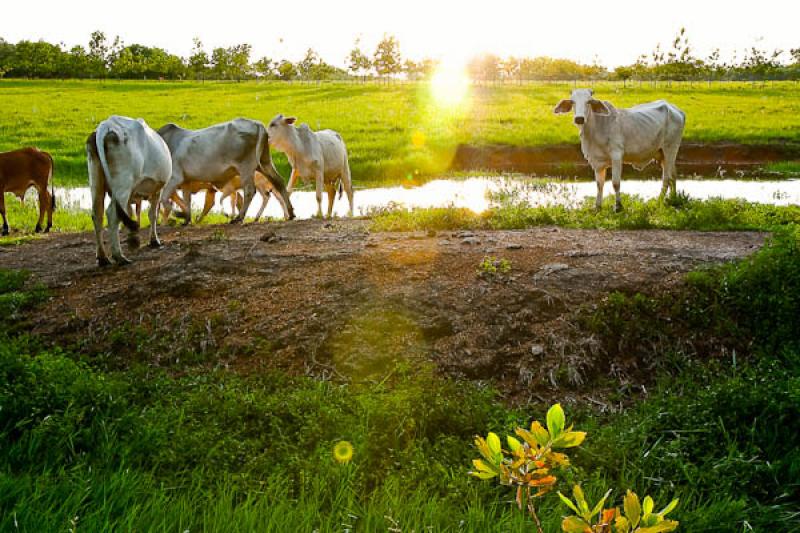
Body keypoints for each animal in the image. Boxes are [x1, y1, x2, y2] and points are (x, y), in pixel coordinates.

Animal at [87, 116, 172, 266]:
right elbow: (152, 214)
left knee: (97, 214)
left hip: (96, 182)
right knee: (112, 214)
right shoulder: (157, 190)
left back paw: (103, 257)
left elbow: (129, 213)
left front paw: (133, 239)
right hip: (123, 185)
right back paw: (119, 256)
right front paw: (154, 240)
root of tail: (107, 124)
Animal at [157, 118, 294, 222]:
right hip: (264, 163)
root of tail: (257, 124)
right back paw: (291, 213)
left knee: (250, 190)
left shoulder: (175, 177)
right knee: (279, 182)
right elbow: (186, 200)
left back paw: (239, 217)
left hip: (246, 167)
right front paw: (186, 218)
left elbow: (164, 198)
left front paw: (178, 214)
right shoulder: (186, 180)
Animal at [552, 88, 684, 211]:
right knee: (673, 175)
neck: (596, 128)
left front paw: (618, 207)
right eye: (572, 101)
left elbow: (616, 183)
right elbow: (599, 184)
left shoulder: (616, 156)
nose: (579, 119)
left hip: (670, 148)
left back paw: (659, 201)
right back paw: (673, 199)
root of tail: (676, 110)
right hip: (662, 154)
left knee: (666, 178)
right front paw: (597, 207)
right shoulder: (597, 161)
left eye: (589, 101)